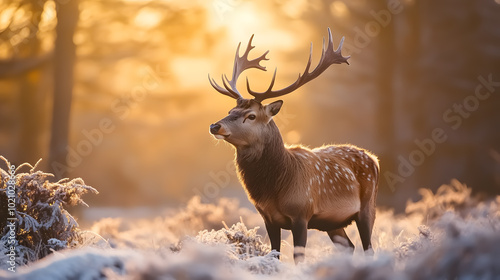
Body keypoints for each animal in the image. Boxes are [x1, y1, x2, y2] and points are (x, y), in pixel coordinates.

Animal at [208, 29, 378, 264]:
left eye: (251, 116)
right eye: (231, 110)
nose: (215, 126)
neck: (275, 188)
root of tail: (374, 159)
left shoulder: (301, 214)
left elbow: (298, 258)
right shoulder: (268, 218)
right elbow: (275, 255)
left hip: (368, 207)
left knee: (369, 248)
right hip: (332, 223)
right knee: (349, 246)